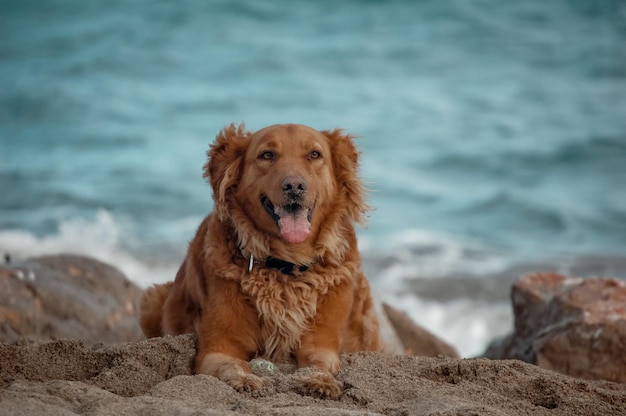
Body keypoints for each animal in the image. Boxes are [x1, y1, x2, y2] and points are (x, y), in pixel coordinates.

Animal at [139, 123, 388, 400]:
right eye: (267, 155)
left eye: (314, 154)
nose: (294, 186)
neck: (287, 265)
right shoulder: (218, 347)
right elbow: (233, 363)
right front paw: (246, 379)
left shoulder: (322, 342)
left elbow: (319, 362)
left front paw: (320, 381)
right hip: (152, 298)